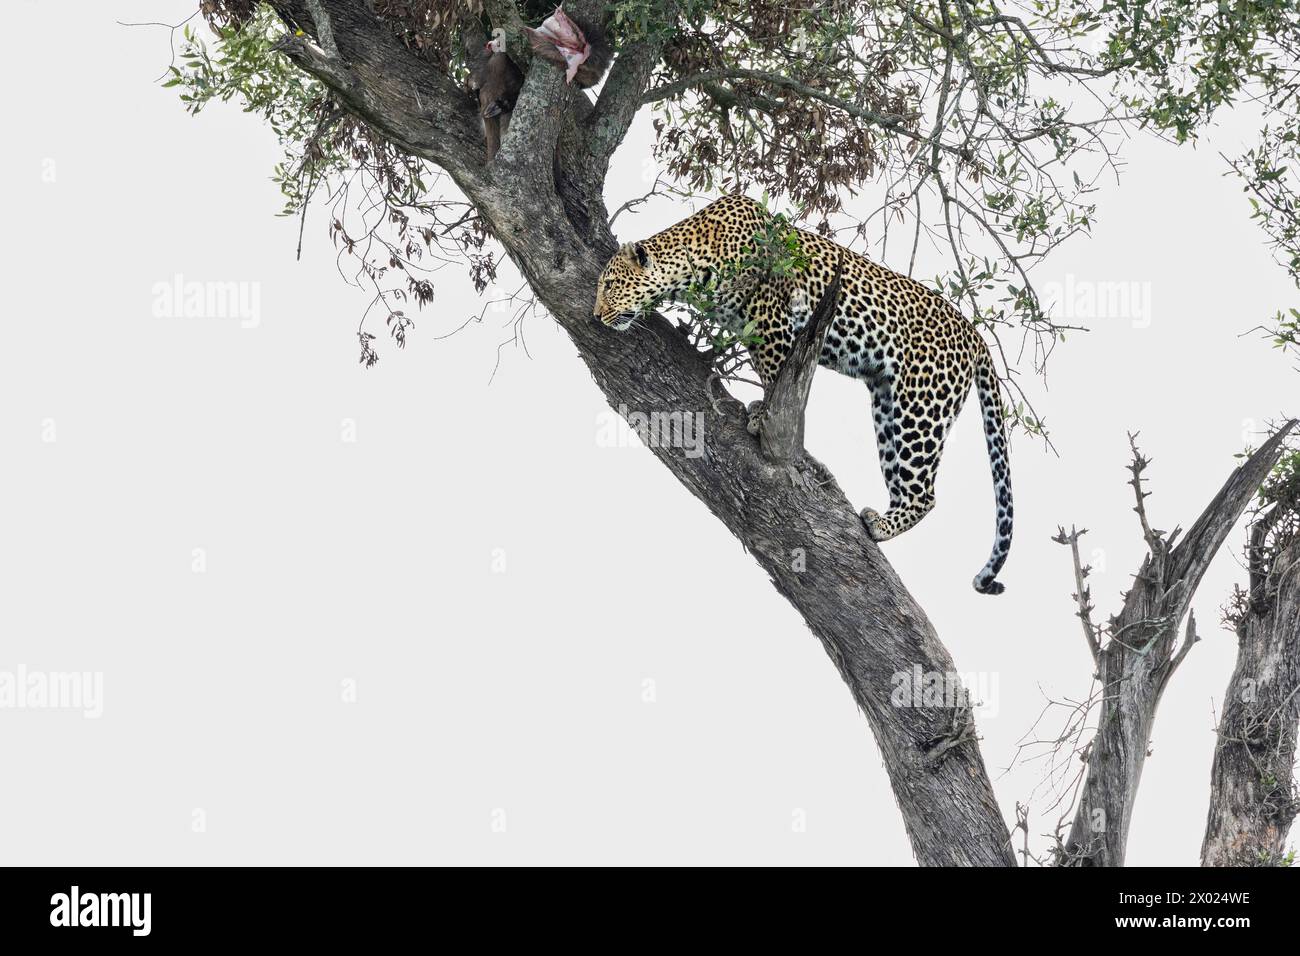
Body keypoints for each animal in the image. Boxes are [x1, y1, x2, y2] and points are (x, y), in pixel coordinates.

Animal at [592, 193, 1013, 595]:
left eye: (610, 285)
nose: (596, 315)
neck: (693, 264)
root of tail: (974, 333)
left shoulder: (771, 318)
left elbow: (775, 372)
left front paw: (762, 417)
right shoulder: (752, 327)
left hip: (923, 407)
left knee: (925, 493)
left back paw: (881, 526)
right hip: (887, 407)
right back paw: (880, 521)